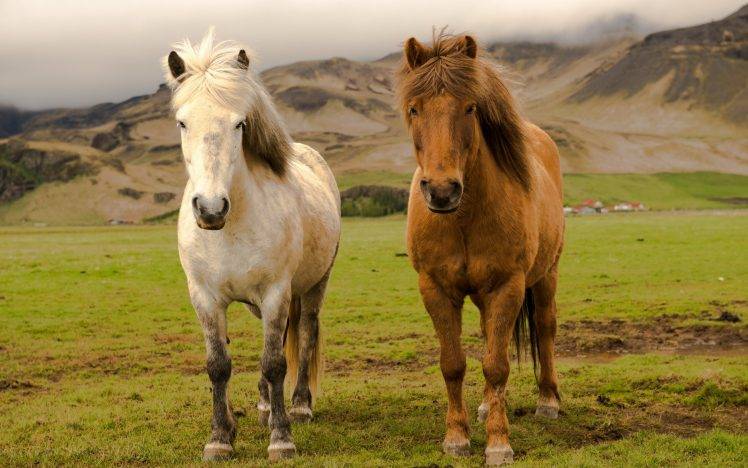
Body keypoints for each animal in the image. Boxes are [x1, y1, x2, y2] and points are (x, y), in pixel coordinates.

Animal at [162, 29, 340, 462]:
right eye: (182, 122)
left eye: (240, 124)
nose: (210, 208)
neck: (229, 230)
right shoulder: (205, 297)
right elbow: (218, 364)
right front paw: (220, 437)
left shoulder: (277, 292)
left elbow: (275, 362)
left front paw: (282, 439)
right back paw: (262, 406)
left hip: (314, 285)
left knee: (305, 335)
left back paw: (300, 406)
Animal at [397, 33, 564, 466]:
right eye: (414, 108)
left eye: (470, 107)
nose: (442, 191)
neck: (463, 220)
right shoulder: (435, 289)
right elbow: (454, 364)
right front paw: (456, 437)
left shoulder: (508, 285)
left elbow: (497, 366)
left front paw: (498, 444)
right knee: (490, 333)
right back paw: (489, 405)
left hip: (546, 274)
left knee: (545, 328)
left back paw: (548, 401)